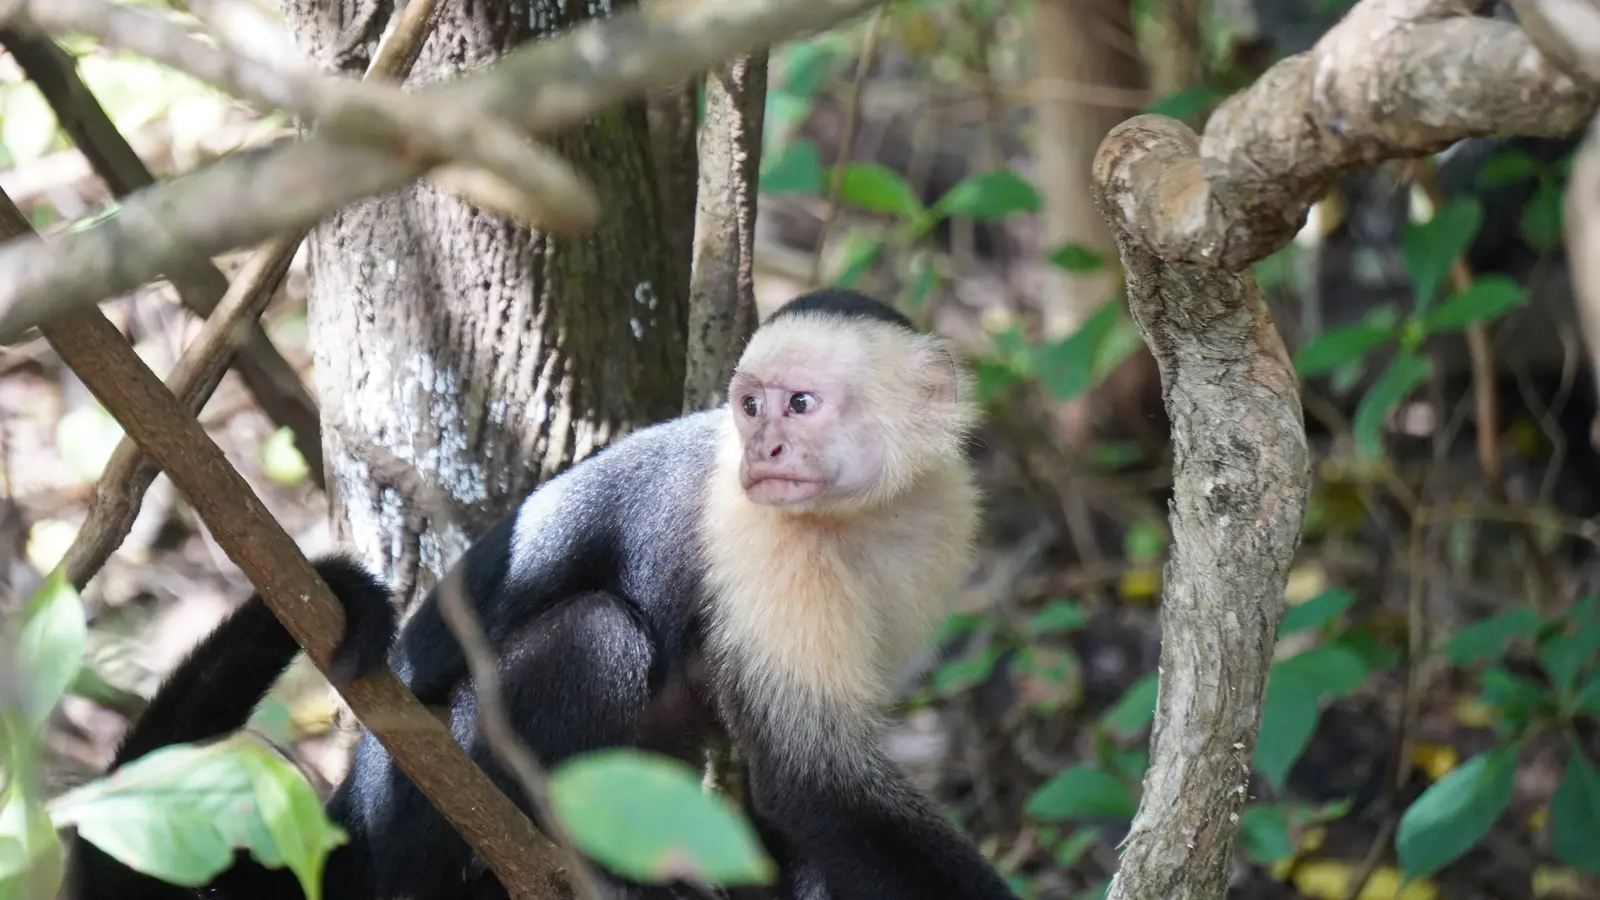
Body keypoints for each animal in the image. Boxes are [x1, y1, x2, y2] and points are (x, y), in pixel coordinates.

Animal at [71, 288, 1019, 900]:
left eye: (801, 404)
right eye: (752, 408)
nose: (766, 451)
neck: (857, 516)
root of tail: (351, 821)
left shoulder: (942, 523)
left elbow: (802, 801)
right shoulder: (763, 544)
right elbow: (812, 782)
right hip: (415, 804)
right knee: (596, 637)